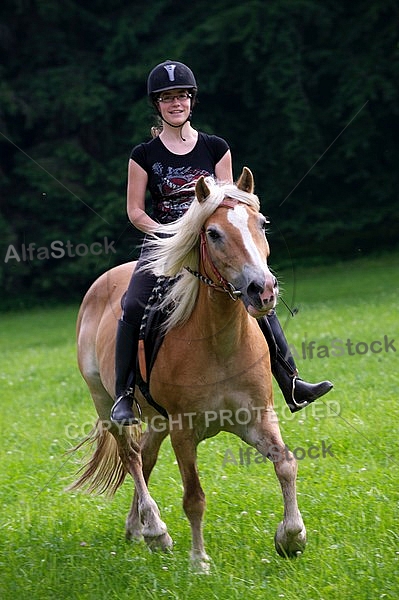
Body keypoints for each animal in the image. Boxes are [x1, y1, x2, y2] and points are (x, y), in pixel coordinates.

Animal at [71, 165, 306, 572]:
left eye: (261, 224)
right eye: (213, 233)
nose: (262, 290)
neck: (219, 344)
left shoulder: (258, 419)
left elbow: (286, 463)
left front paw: (291, 538)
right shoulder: (184, 432)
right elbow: (194, 496)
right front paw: (199, 562)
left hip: (157, 419)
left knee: (146, 456)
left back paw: (140, 529)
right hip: (105, 402)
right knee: (131, 457)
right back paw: (156, 530)